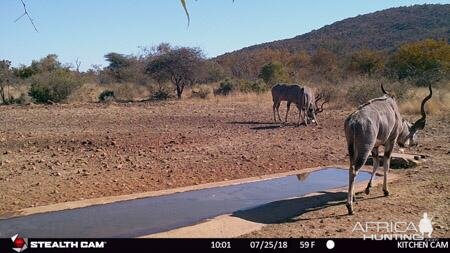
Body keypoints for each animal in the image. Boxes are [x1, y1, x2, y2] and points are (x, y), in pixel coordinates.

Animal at [344, 84, 432, 214]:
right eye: (415, 132)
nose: (416, 143)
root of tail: (353, 120)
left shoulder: (375, 147)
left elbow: (376, 164)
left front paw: (368, 188)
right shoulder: (390, 142)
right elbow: (386, 164)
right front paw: (386, 191)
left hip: (353, 149)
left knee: (351, 167)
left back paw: (353, 197)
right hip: (365, 148)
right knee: (355, 169)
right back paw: (350, 207)